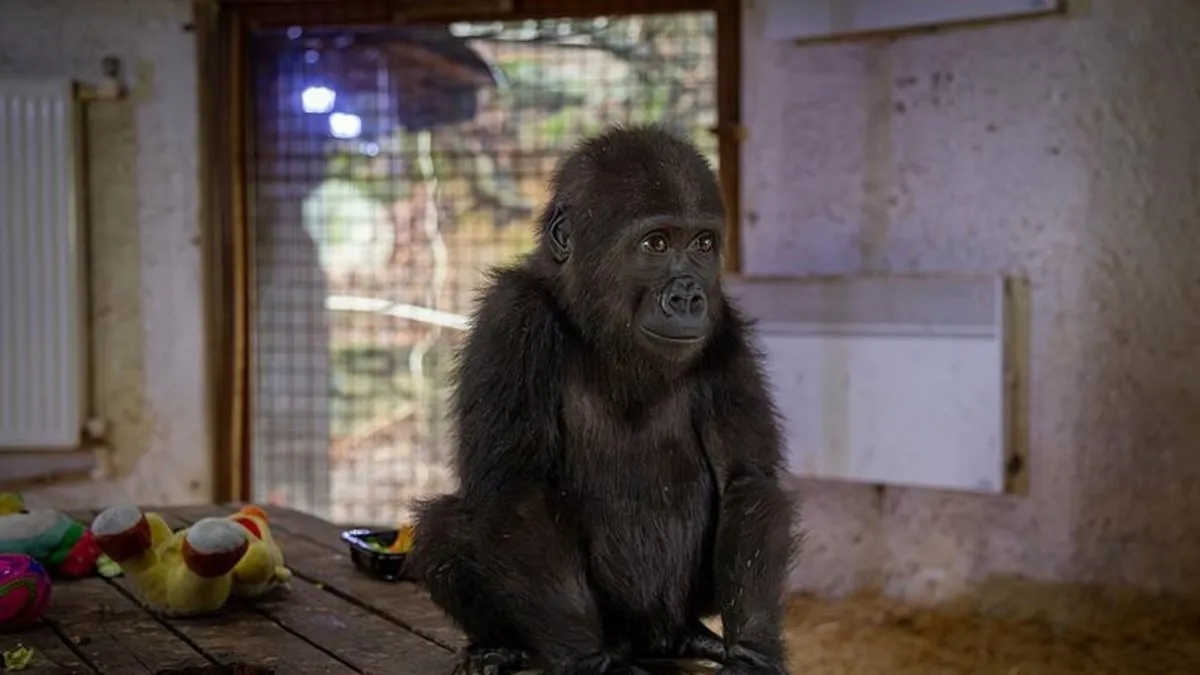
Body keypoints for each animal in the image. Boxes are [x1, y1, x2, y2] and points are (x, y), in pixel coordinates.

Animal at [410, 121, 796, 672]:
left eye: (703, 243)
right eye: (656, 243)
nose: (689, 296)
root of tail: (649, 638)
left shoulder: (726, 329)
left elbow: (747, 479)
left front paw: (753, 652)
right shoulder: (512, 320)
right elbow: (518, 493)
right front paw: (589, 661)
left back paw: (695, 635)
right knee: (443, 528)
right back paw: (503, 645)